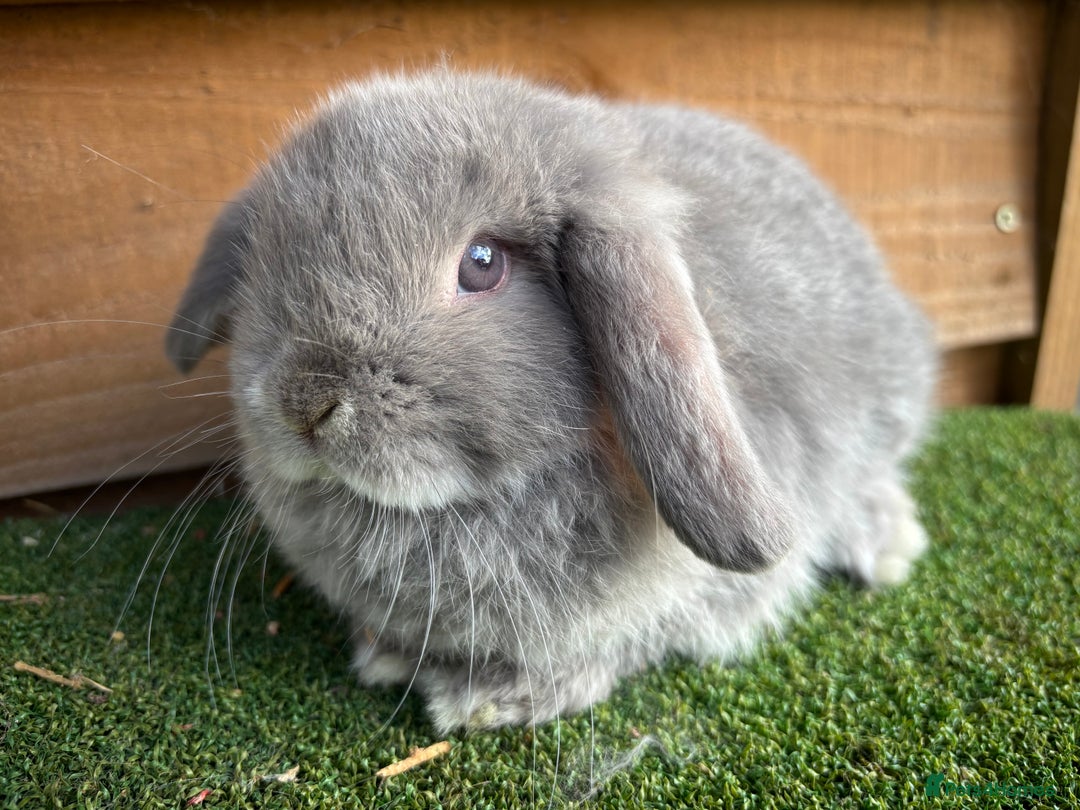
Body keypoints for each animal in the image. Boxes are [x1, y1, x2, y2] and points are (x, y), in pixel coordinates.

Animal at [165, 70, 937, 733]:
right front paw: (386, 655)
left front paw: (487, 699)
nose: (306, 402)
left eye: (482, 264)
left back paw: (888, 545)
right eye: (266, 262)